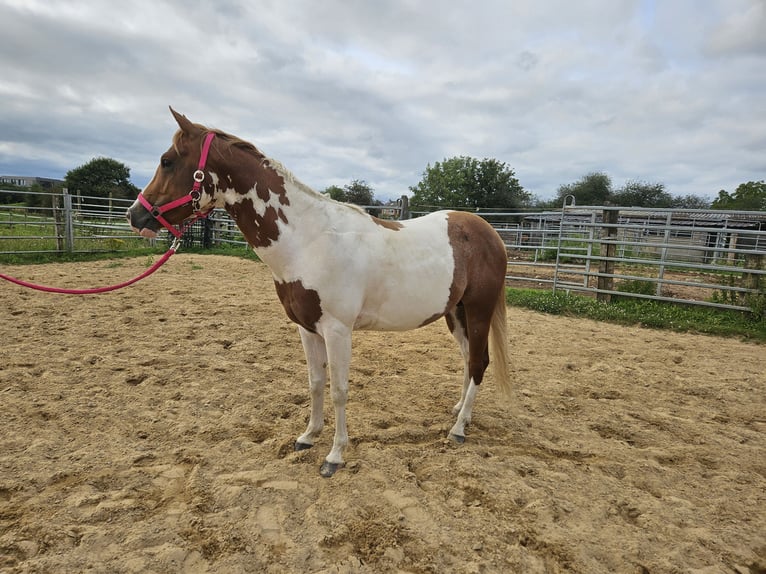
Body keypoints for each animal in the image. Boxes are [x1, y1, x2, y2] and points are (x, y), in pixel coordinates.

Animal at [129, 110, 512, 480]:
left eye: (167, 161)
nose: (136, 215)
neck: (309, 240)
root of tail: (491, 233)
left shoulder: (338, 331)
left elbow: (339, 391)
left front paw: (335, 456)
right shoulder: (307, 328)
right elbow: (315, 383)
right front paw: (308, 436)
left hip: (478, 310)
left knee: (479, 362)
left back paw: (459, 429)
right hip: (456, 313)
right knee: (467, 358)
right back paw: (461, 412)